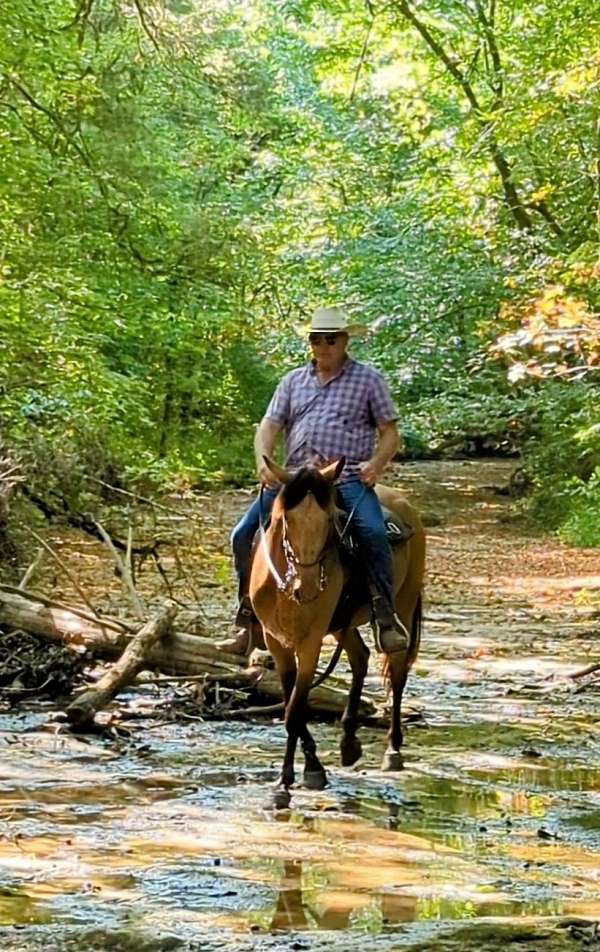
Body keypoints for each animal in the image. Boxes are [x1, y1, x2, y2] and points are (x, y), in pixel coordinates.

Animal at [250, 458, 426, 808]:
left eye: (329, 519)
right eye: (286, 518)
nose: (305, 588)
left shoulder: (311, 641)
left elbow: (294, 710)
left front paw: (286, 782)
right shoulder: (277, 641)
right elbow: (291, 704)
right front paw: (311, 767)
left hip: (402, 603)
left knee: (397, 673)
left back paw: (393, 750)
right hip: (342, 625)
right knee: (361, 659)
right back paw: (348, 743)